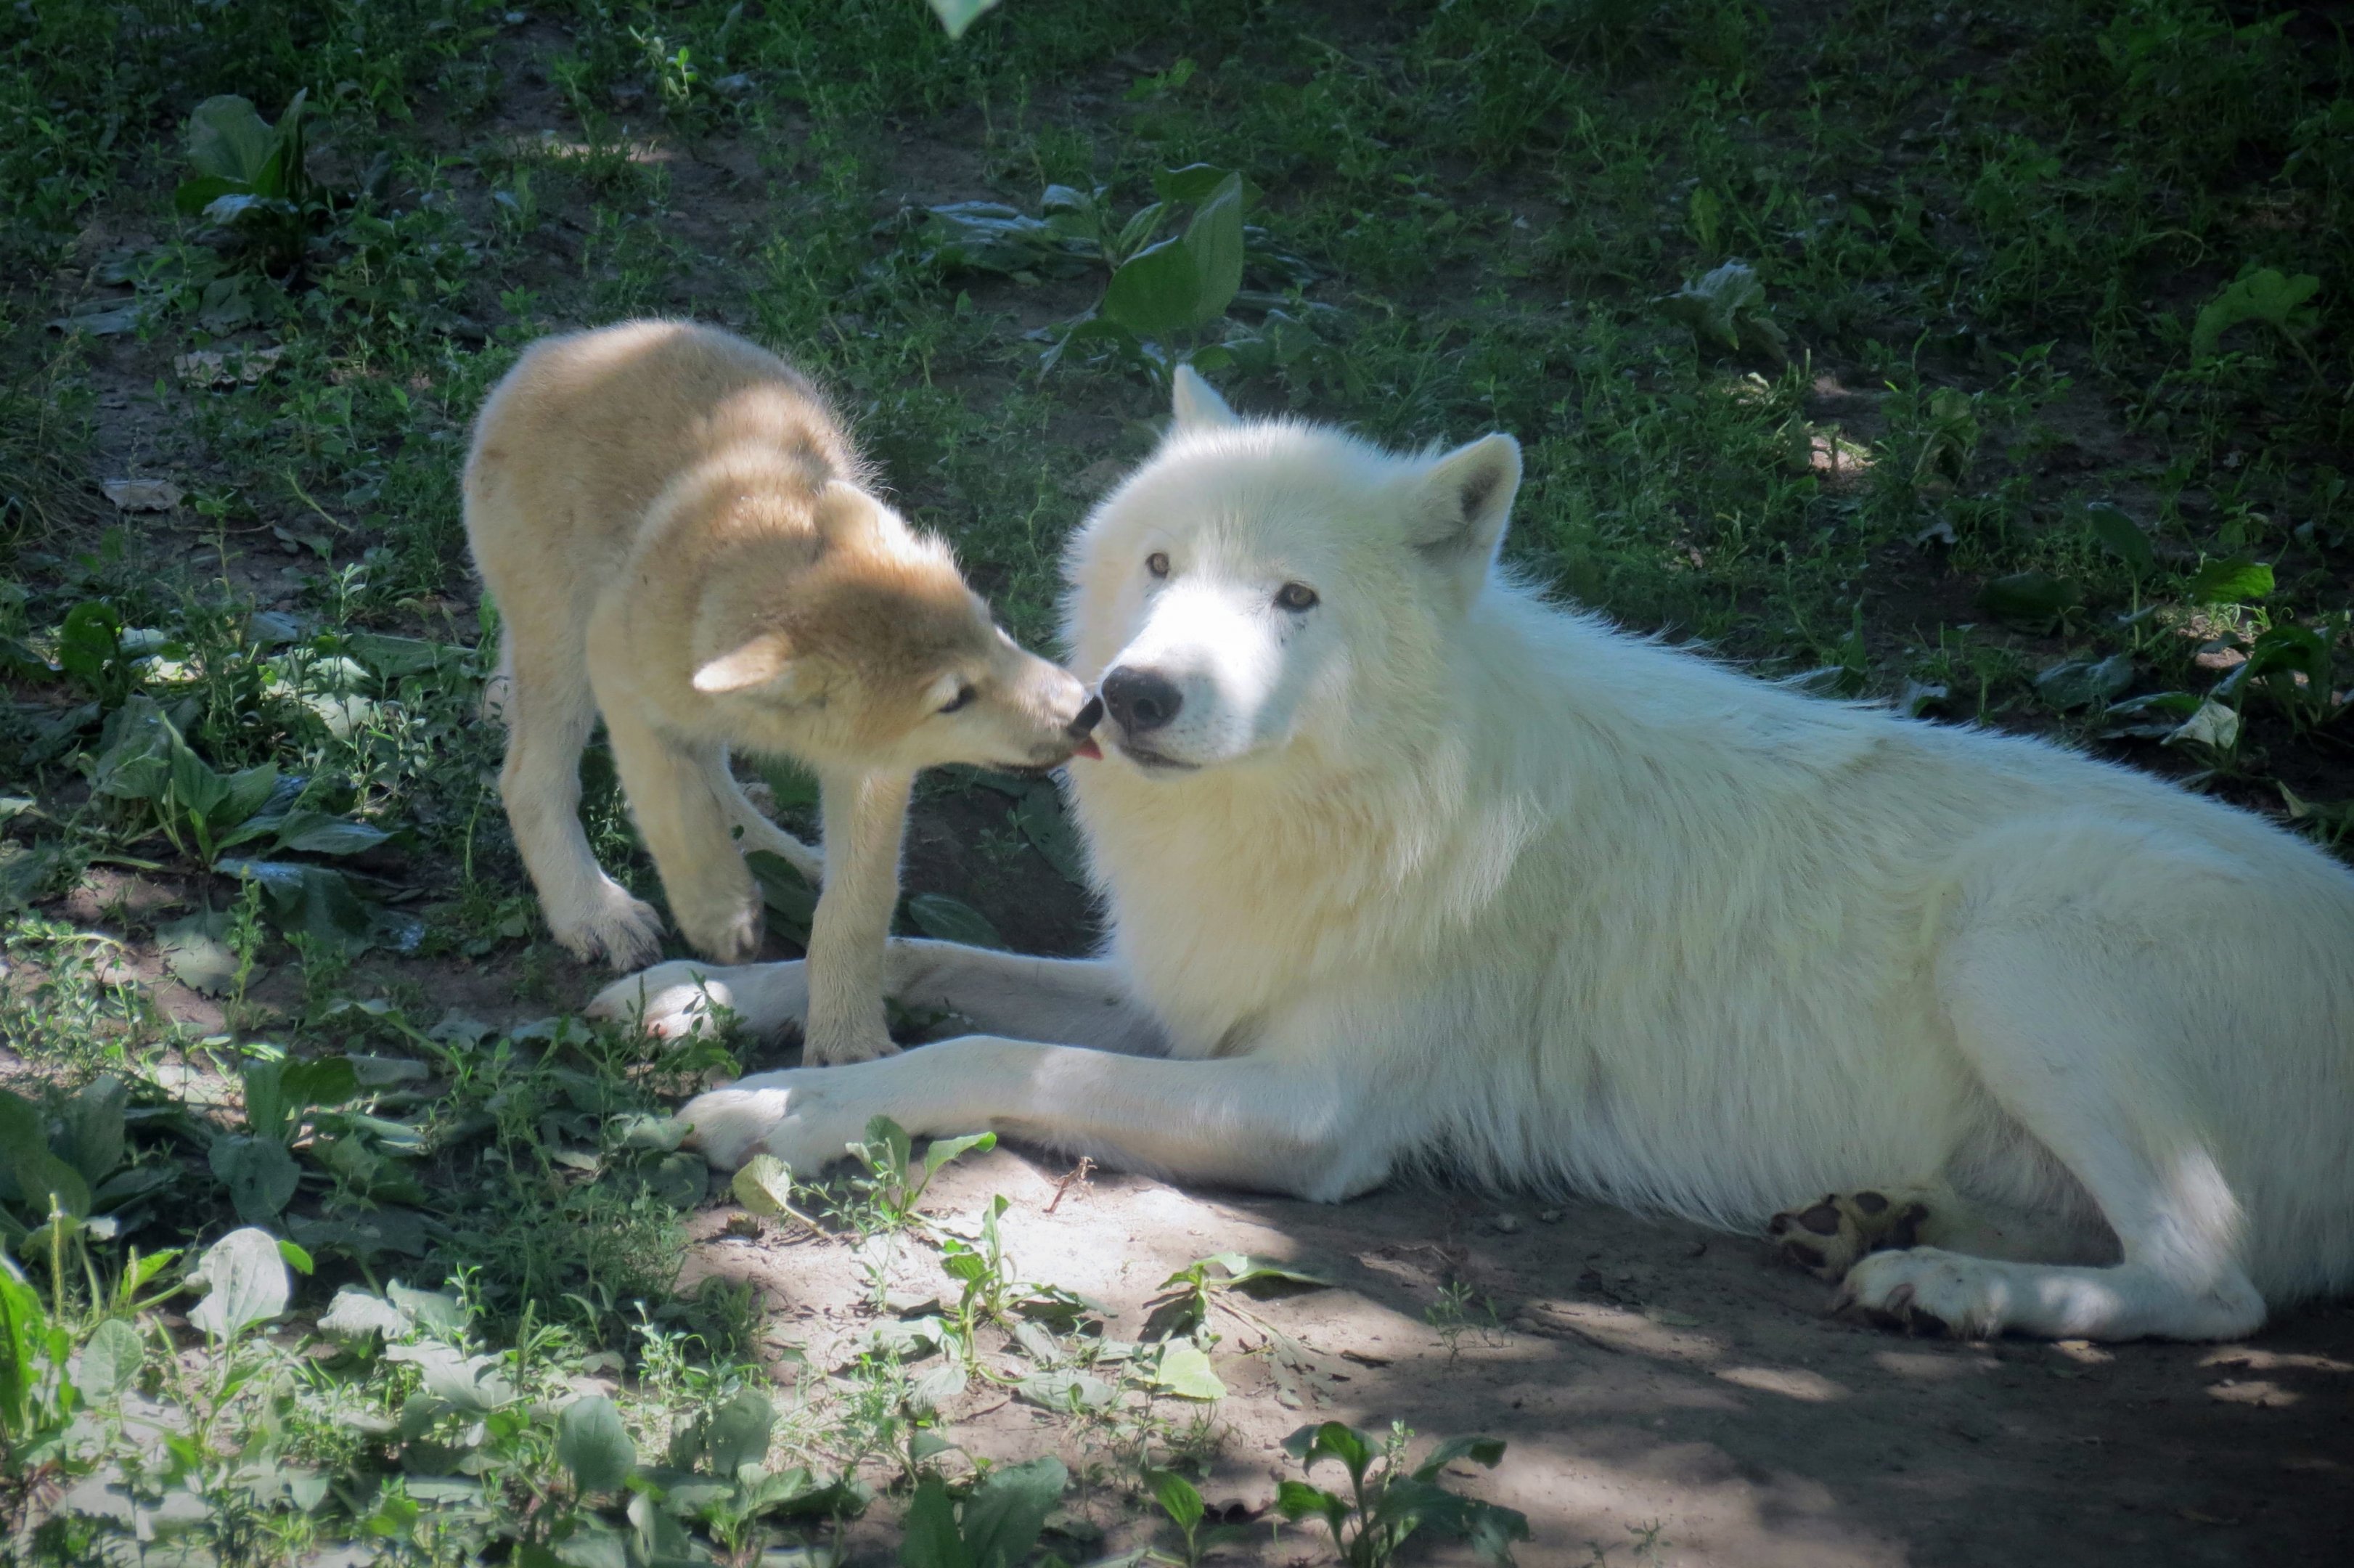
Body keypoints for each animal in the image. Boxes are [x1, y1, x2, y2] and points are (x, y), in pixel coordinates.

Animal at [467, 320, 1096, 1065]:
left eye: (993, 627)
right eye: (953, 700)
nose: (1090, 708)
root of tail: (566, 345)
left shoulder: (873, 772)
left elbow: (854, 911)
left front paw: (848, 1045)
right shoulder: (622, 681)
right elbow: (671, 807)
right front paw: (717, 913)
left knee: (713, 774)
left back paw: (786, 856)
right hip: (559, 647)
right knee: (531, 779)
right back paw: (594, 911)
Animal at [592, 366, 2354, 1341]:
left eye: (1294, 600)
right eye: (1160, 567)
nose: (1132, 696)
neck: (1350, 806)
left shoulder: (1311, 1111)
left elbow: (983, 1051)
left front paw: (786, 1107)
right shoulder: (1179, 996)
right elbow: (920, 954)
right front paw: (701, 991)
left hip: (2017, 937)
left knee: (2215, 1276)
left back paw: (1956, 1293)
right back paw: (1880, 1227)